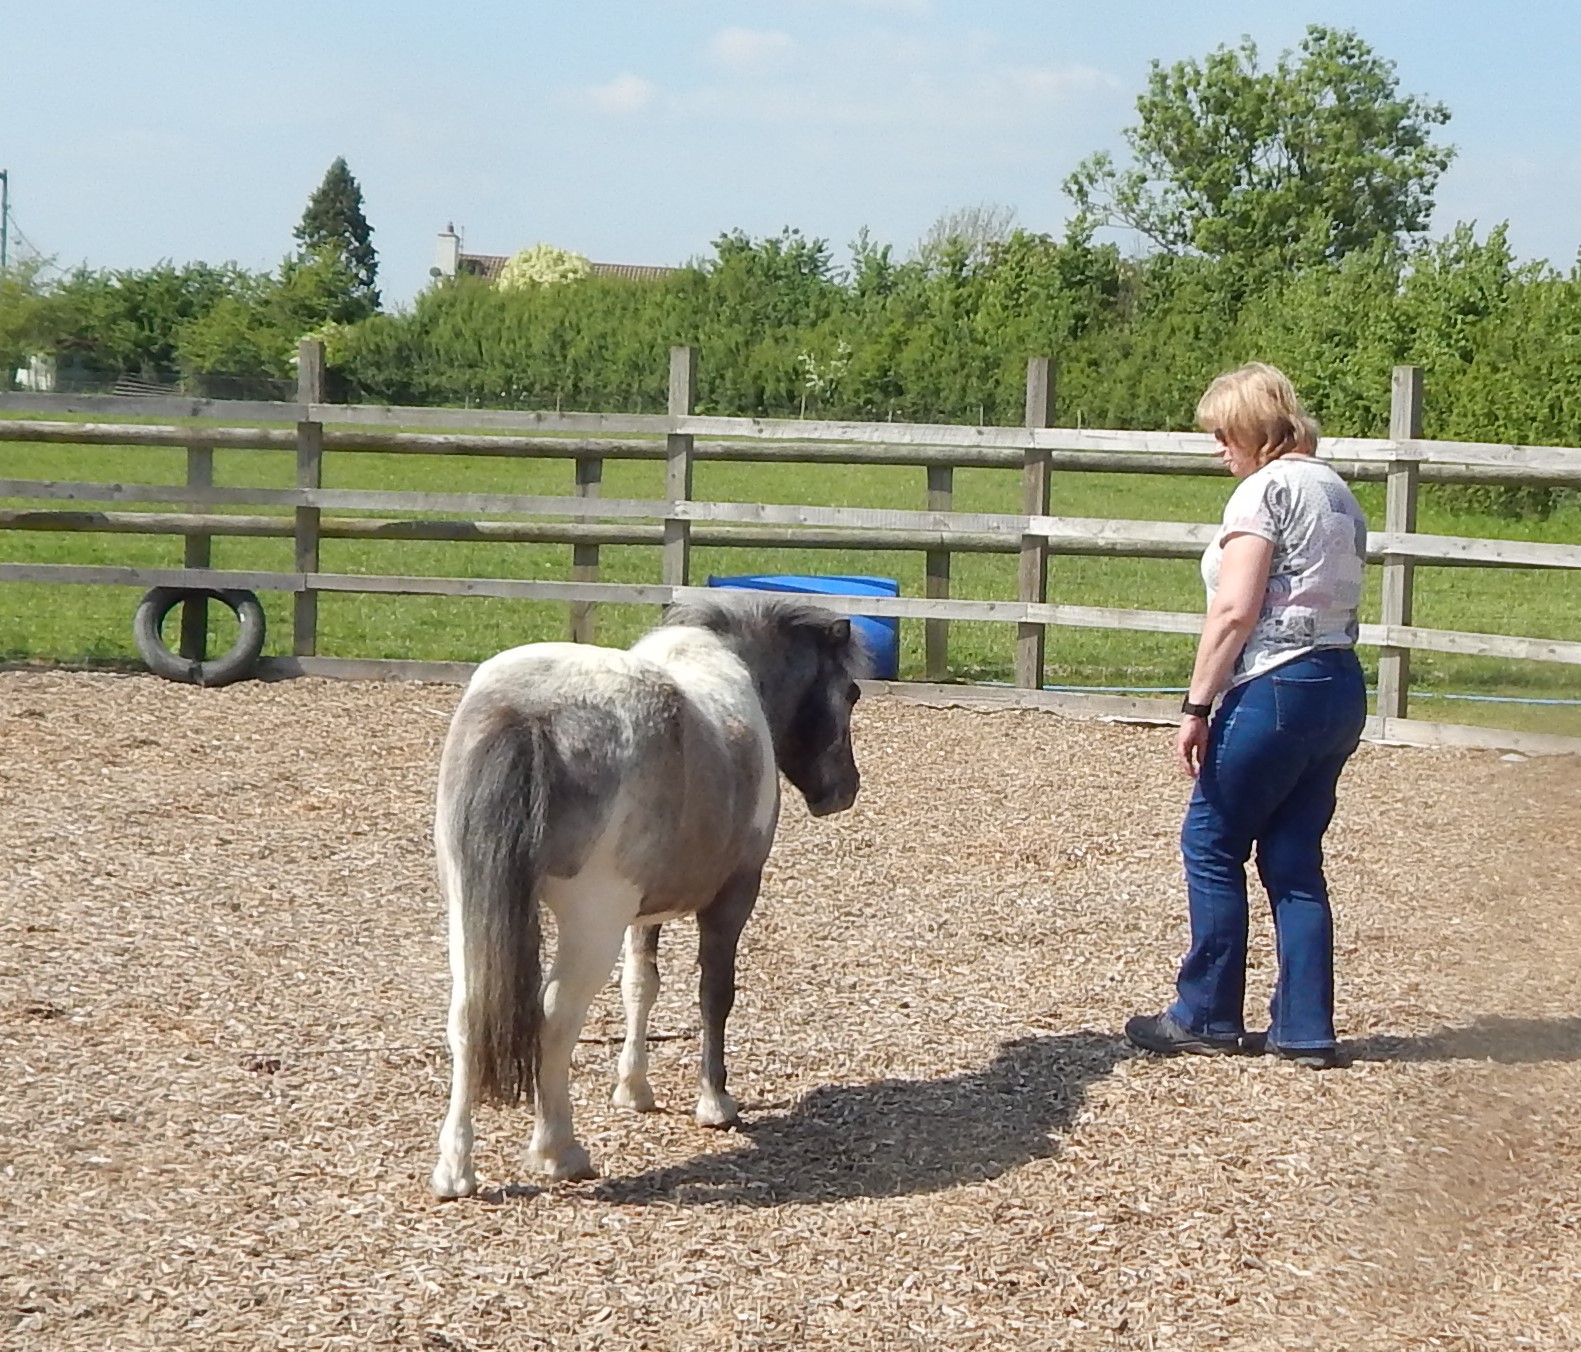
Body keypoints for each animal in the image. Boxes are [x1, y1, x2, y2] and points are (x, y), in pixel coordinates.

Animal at [429, 593, 868, 1198]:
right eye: (850, 693)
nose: (845, 790)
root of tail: (528, 713)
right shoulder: (734, 897)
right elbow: (715, 994)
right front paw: (715, 1102)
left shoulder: (643, 913)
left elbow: (640, 987)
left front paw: (633, 1090)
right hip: (591, 921)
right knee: (556, 1015)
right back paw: (558, 1151)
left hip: (468, 905)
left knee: (467, 1014)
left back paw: (455, 1170)